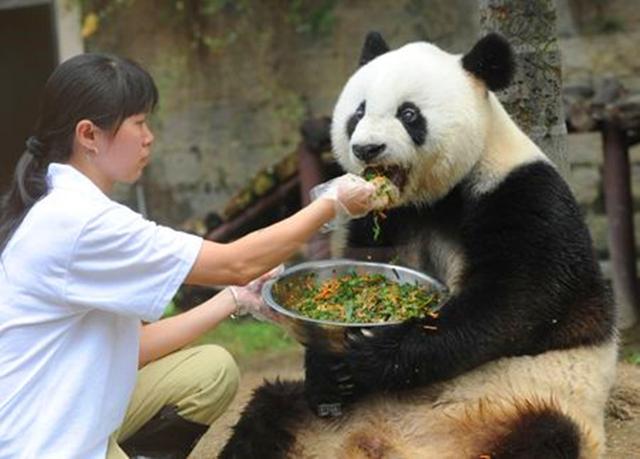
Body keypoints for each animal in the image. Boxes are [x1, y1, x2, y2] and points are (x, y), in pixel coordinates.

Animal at [218, 32, 616, 459]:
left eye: (409, 114)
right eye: (358, 112)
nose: (367, 149)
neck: (437, 195)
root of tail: (385, 443)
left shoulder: (522, 195)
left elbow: (516, 301)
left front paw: (373, 353)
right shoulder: (388, 219)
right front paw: (328, 368)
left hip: (528, 405)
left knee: (544, 435)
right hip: (316, 425)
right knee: (268, 409)